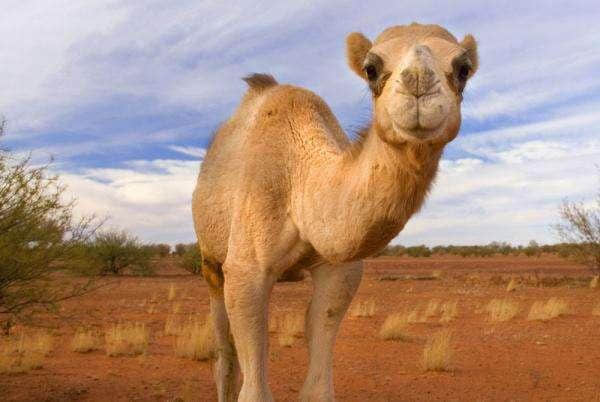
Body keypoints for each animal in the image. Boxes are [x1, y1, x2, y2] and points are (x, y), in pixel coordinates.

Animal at [192, 22, 478, 402]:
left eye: (463, 68)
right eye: (371, 68)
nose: (418, 81)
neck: (300, 182)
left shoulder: (340, 272)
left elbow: (319, 381)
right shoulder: (244, 271)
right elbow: (253, 390)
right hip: (210, 260)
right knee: (224, 357)